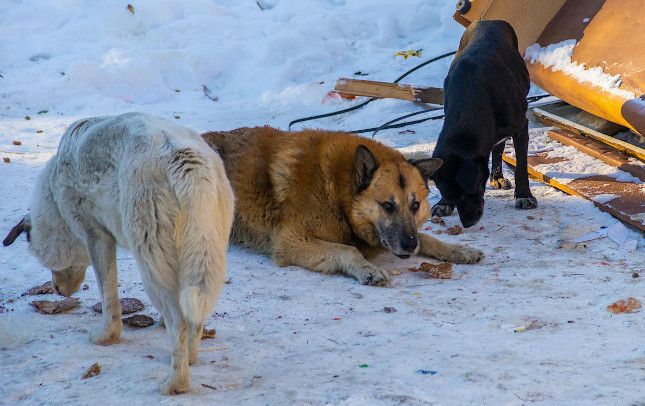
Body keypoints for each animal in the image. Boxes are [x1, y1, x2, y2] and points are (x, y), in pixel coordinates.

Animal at [2, 112, 234, 394]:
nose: (56, 290)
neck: (55, 199)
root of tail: (187, 162)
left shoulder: (96, 235)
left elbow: (108, 295)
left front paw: (105, 337)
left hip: (150, 262)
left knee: (178, 321)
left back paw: (175, 384)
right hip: (206, 256)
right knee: (195, 316)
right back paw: (189, 358)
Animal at [203, 127, 484, 286]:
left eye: (415, 205)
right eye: (387, 205)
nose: (408, 246)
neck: (336, 194)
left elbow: (427, 238)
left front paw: (458, 250)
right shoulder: (291, 242)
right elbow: (348, 250)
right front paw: (368, 268)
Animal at [430, 19, 536, 228]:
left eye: (468, 192)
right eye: (451, 195)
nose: (468, 223)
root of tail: (489, 20)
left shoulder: (521, 126)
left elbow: (521, 166)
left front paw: (523, 196)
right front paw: (443, 203)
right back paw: (497, 177)